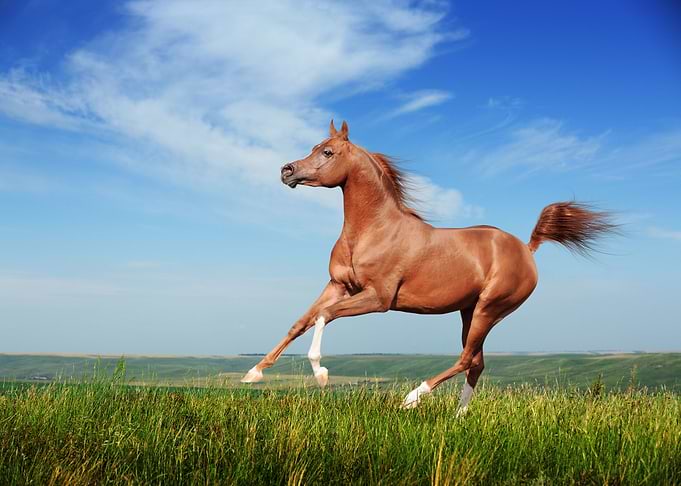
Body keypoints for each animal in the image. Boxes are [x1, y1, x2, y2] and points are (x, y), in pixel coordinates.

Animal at [241, 120, 616, 411]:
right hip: (470, 311)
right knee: (476, 363)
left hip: (489, 309)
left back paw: (413, 397)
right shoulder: (338, 285)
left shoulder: (378, 298)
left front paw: (321, 375)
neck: (373, 230)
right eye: (314, 147)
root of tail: (526, 248)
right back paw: (458, 417)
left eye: (328, 152)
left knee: (467, 358)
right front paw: (253, 373)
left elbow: (323, 316)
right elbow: (300, 322)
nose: (286, 171)